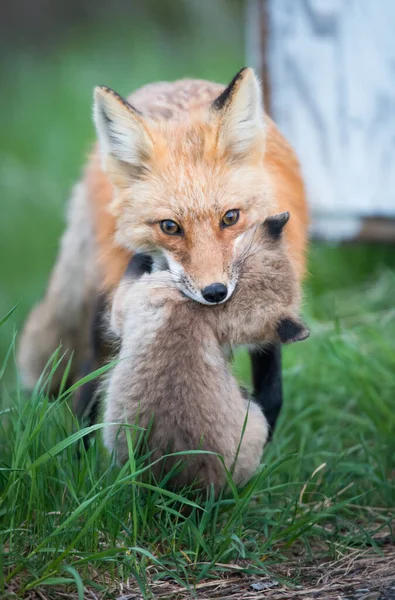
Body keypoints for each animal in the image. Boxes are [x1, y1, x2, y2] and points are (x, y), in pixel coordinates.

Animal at [18, 68, 310, 432]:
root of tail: (172, 83)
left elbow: (271, 395)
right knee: (86, 386)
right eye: (169, 226)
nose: (215, 292)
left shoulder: (273, 302)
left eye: (230, 217)